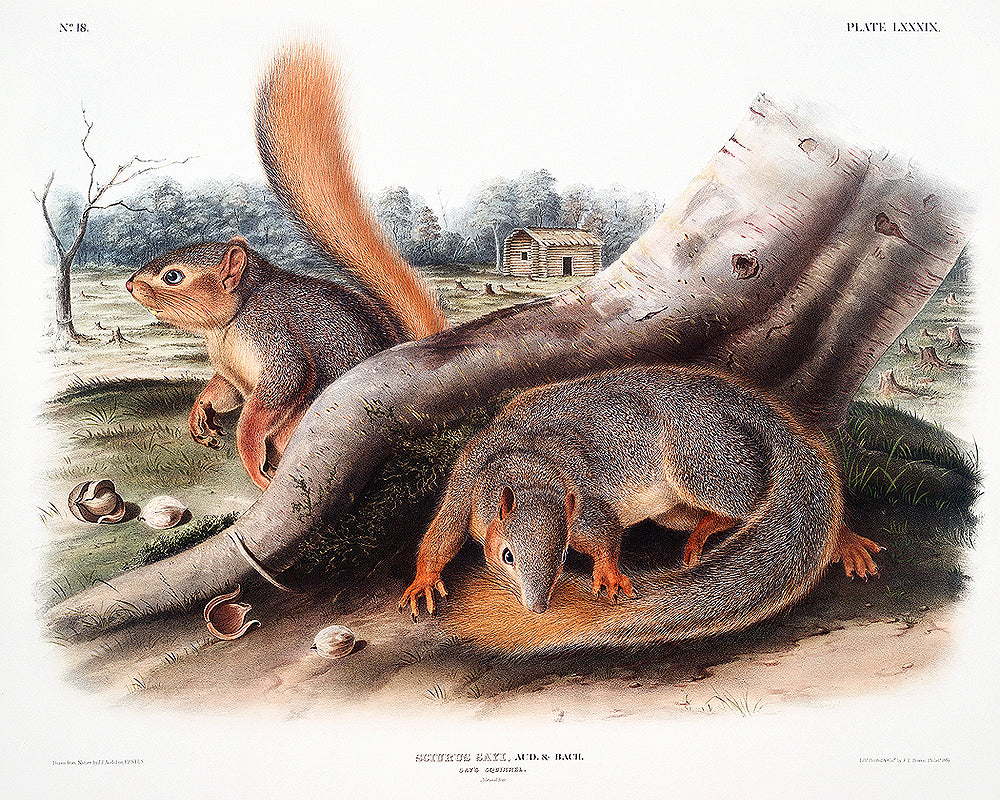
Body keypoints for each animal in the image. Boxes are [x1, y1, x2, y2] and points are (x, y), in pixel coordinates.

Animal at [126, 46, 448, 490]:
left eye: (173, 276)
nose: (129, 285)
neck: (231, 321)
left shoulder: (275, 339)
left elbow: (279, 390)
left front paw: (246, 450)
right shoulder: (231, 370)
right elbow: (223, 391)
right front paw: (200, 415)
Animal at [400, 364, 880, 655]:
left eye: (561, 557)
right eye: (507, 556)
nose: (537, 608)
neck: (530, 465)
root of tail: (750, 411)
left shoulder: (584, 501)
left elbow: (606, 534)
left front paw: (610, 575)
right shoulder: (466, 484)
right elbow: (442, 534)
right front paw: (422, 582)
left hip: (702, 456)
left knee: (745, 502)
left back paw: (836, 539)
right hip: (675, 503)